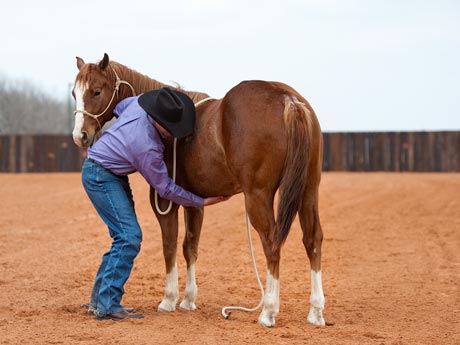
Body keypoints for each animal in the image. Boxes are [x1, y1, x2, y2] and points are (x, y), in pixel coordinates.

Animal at [72, 53, 326, 326]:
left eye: (97, 91)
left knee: (271, 243)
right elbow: (190, 246)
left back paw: (268, 311)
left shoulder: (164, 201)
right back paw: (315, 311)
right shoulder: (194, 203)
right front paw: (188, 300)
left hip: (259, 196)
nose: (80, 136)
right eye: (75, 93)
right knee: (312, 239)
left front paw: (169, 300)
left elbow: (169, 246)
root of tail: (289, 100)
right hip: (309, 190)